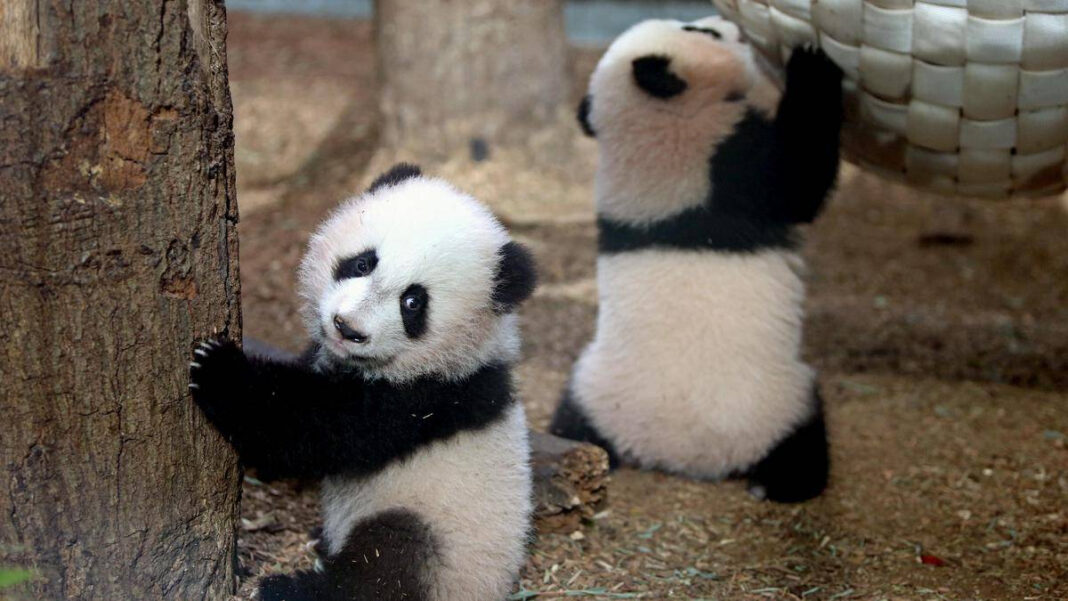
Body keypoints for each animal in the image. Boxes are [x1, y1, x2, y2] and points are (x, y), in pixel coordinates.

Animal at [188, 164, 538, 601]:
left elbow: (315, 430)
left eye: (413, 302)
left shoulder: (426, 398)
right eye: (362, 264)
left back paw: (288, 588)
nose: (347, 327)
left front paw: (219, 370)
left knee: (383, 566)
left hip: (440, 535)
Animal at [549, 17, 844, 503]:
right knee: (804, 433)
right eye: (697, 30)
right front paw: (811, 63)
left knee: (572, 420)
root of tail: (686, 459)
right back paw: (783, 482)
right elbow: (799, 180)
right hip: (777, 398)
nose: (729, 25)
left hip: (592, 386)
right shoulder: (728, 164)